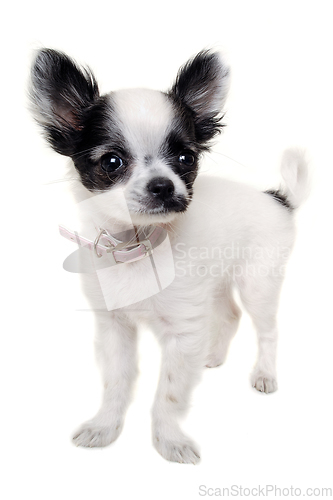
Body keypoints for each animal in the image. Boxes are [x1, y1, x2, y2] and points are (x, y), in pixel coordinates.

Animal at [29, 48, 308, 462]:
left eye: (185, 159)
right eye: (112, 162)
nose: (163, 186)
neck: (136, 245)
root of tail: (277, 198)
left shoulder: (182, 330)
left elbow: (170, 393)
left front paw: (169, 441)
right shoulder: (115, 328)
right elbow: (116, 381)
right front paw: (105, 427)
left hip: (257, 283)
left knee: (268, 329)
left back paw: (265, 374)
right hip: (216, 283)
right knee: (230, 314)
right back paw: (212, 355)